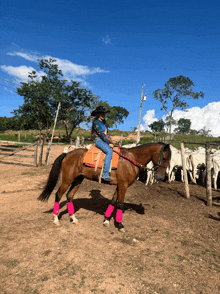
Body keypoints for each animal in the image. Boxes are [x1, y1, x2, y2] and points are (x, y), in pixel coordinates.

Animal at [38, 142, 172, 232]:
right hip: (67, 179)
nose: (160, 177)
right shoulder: (123, 185)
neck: (131, 160)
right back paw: (56, 219)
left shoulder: (119, 185)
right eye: (164, 157)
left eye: (170, 159)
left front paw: (107, 220)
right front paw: (120, 225)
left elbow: (113, 201)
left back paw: (73, 218)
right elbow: (120, 203)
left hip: (78, 180)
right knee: (58, 195)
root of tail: (67, 154)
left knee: (69, 196)